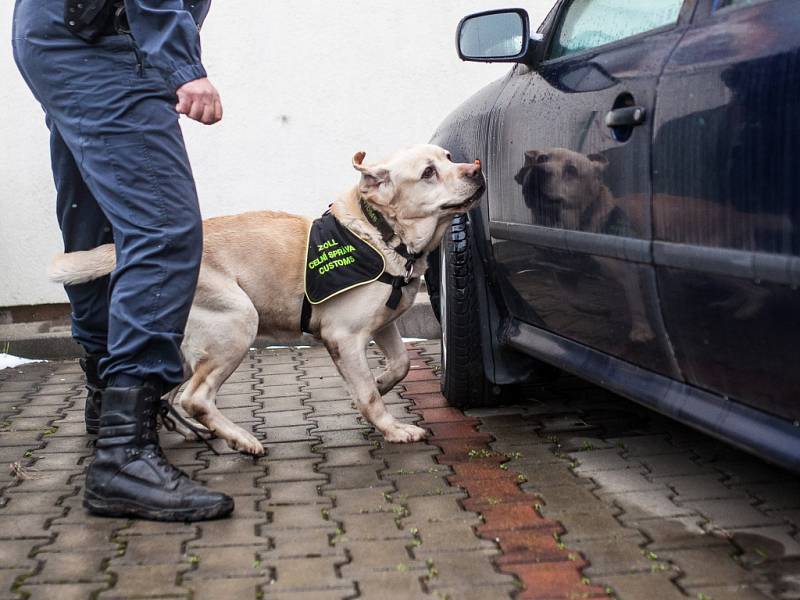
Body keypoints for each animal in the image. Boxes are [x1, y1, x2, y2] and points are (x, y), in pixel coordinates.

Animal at [53, 145, 488, 454]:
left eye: (449, 157)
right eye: (428, 172)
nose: (476, 169)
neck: (382, 234)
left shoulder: (384, 324)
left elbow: (399, 366)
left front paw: (381, 382)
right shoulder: (344, 336)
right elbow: (366, 394)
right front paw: (392, 427)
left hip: (183, 348)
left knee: (168, 393)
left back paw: (193, 431)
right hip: (238, 322)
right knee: (195, 397)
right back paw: (240, 439)